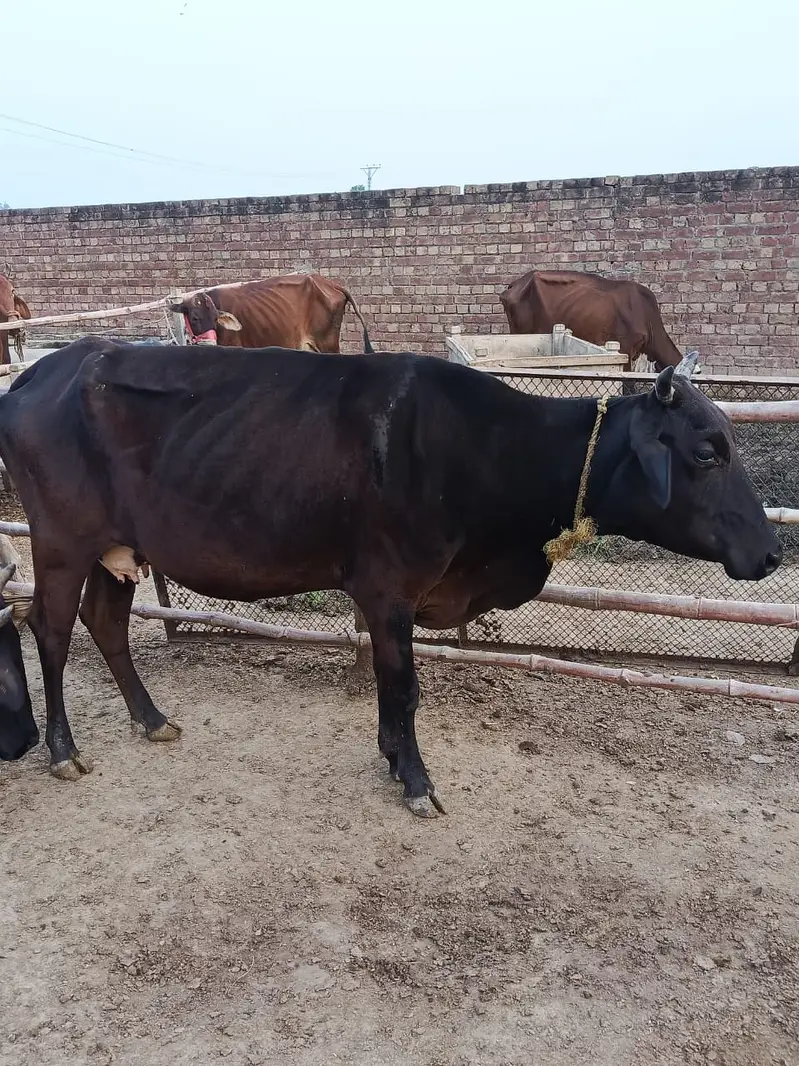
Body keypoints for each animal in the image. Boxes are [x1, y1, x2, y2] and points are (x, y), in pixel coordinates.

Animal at [0, 337, 780, 816]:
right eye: (707, 451)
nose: (772, 552)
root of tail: (43, 371)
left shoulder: (390, 598)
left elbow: (389, 685)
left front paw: (391, 757)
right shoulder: (389, 588)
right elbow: (404, 688)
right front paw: (415, 780)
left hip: (118, 549)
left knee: (106, 625)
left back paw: (153, 719)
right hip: (61, 542)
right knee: (50, 629)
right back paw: (63, 751)